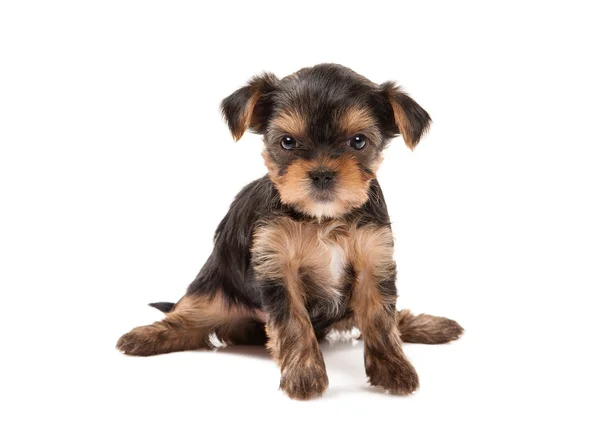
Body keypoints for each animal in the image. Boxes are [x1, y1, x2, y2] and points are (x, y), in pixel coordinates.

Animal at [117, 64, 464, 402]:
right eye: (287, 142)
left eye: (358, 142)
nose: (322, 173)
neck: (323, 217)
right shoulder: (277, 264)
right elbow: (293, 322)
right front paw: (304, 375)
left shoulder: (373, 257)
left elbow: (381, 318)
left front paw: (394, 368)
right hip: (215, 295)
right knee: (187, 317)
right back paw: (143, 337)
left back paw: (430, 326)